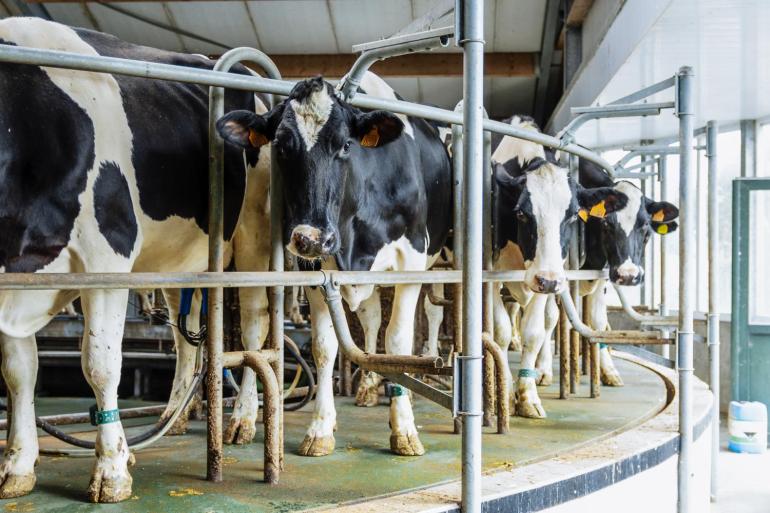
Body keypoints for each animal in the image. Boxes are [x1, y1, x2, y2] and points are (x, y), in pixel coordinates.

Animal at [0, 19, 274, 500]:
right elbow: (19, 372)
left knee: (254, 326)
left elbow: (101, 364)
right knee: (187, 339)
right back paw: (174, 417)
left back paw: (241, 418)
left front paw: (110, 470)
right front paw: (18, 465)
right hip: (180, 259)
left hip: (252, 236)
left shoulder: (107, 256)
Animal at [216, 72, 452, 456]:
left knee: (427, 314)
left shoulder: (413, 259)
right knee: (370, 320)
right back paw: (368, 387)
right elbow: (325, 348)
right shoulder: (316, 270)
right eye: (281, 146)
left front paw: (404, 429)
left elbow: (398, 341)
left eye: (345, 145)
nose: (311, 238)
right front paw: (320, 429)